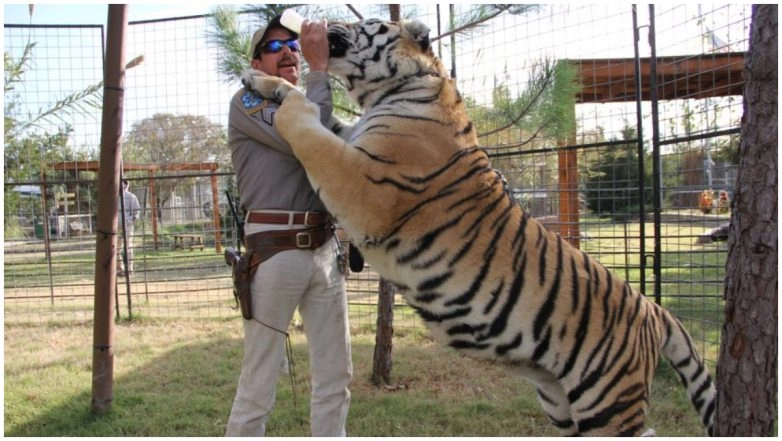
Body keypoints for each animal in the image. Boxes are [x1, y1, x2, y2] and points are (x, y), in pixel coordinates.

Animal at [240, 18, 716, 436]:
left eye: (364, 21)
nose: (317, 24)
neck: (394, 89)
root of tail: (653, 309)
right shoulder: (352, 141)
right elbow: (312, 108)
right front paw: (257, 79)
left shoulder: (362, 184)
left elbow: (305, 123)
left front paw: (280, 95)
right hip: (559, 399)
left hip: (605, 401)